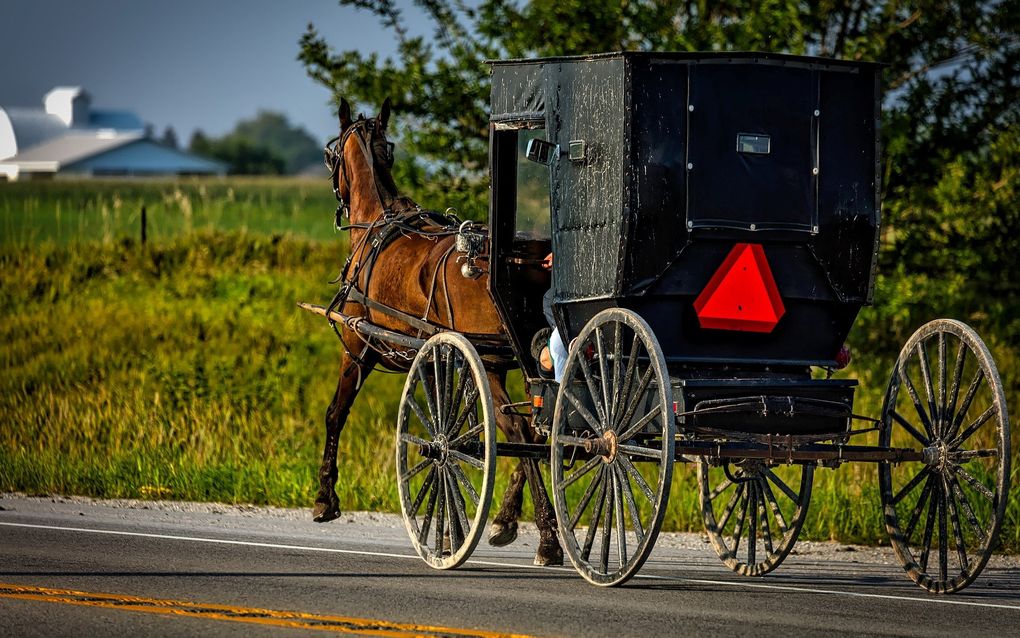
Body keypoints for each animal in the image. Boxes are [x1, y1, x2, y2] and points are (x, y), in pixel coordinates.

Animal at [314, 96, 563, 563]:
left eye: (330, 155)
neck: (376, 223)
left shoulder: (357, 347)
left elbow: (336, 413)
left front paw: (325, 498)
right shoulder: (440, 359)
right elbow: (450, 427)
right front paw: (452, 529)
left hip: (489, 361)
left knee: (520, 431)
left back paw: (547, 537)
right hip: (518, 360)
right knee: (540, 429)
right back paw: (508, 521)